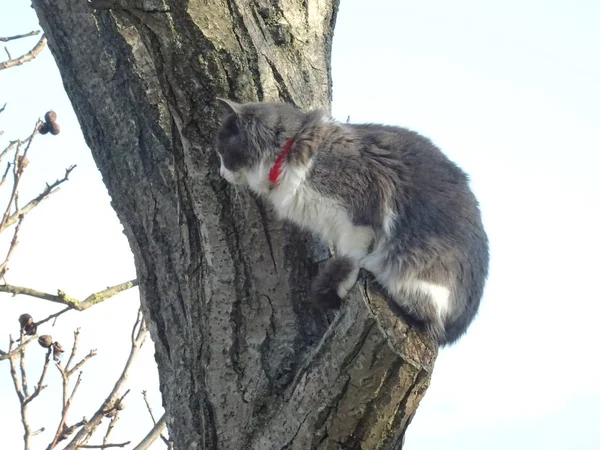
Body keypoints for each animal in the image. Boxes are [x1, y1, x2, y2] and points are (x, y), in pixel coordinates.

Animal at [213, 98, 490, 344]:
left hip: (420, 259)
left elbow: (350, 257)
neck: (291, 150)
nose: (221, 173)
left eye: (222, 152)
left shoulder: (361, 213)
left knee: (424, 312)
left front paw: (343, 284)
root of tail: (456, 330)